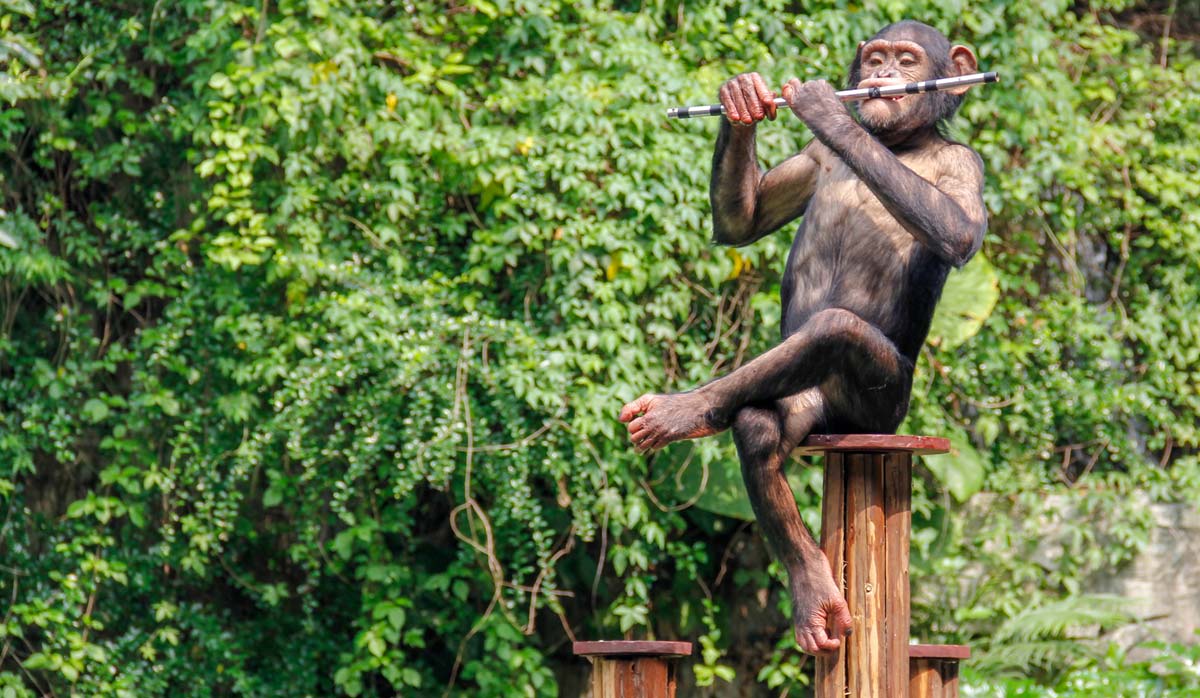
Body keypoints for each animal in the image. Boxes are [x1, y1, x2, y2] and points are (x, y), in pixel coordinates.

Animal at [619, 20, 984, 657]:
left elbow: (958, 227)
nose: (882, 78)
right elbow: (744, 222)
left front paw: (821, 106)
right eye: (877, 58)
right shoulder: (812, 161)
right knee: (759, 426)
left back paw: (676, 413)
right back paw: (811, 586)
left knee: (835, 328)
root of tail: (844, 428)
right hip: (811, 412)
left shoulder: (965, 165)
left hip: (880, 411)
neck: (900, 146)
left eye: (908, 60)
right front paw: (743, 98)